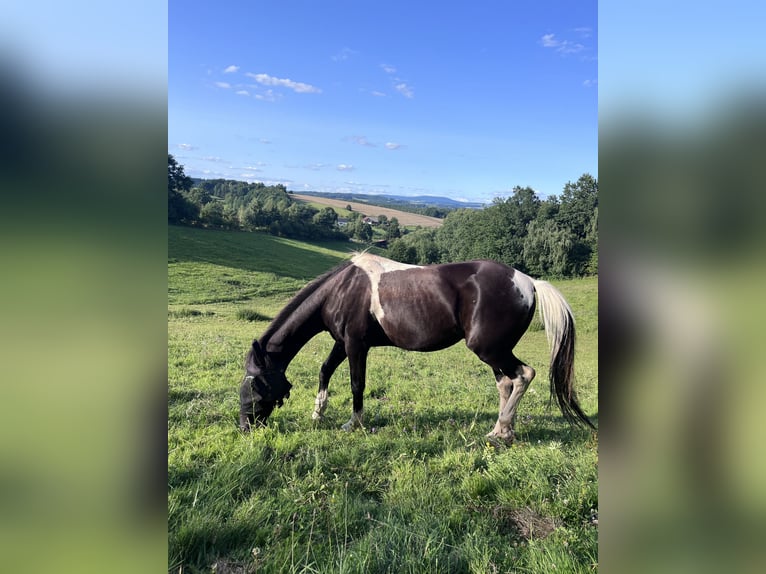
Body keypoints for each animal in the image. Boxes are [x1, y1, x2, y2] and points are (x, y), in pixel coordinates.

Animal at [238, 252, 594, 444]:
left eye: (256, 388)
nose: (244, 427)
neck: (342, 288)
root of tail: (529, 282)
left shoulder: (356, 345)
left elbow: (356, 384)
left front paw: (354, 424)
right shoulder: (341, 342)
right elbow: (325, 371)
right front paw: (317, 414)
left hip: (489, 349)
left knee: (523, 375)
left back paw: (503, 432)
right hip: (495, 351)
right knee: (506, 383)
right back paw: (500, 428)